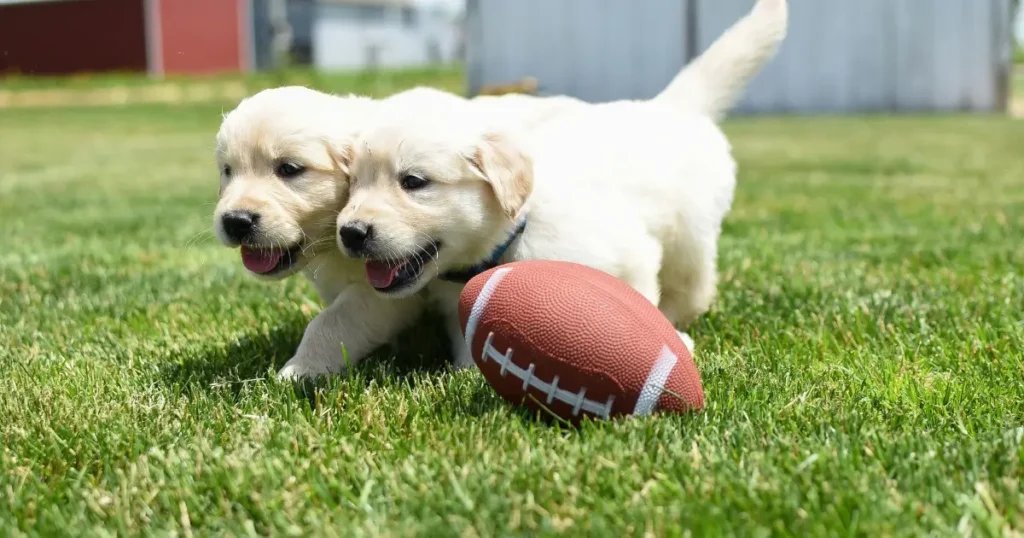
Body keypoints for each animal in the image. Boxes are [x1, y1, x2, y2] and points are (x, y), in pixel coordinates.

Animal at [280, 0, 790, 377]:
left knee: (693, 283)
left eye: (414, 182)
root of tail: (671, 106)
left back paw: (683, 321)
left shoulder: (630, 253)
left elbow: (639, 298)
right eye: (354, 182)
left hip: (690, 237)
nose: (351, 234)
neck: (511, 237)